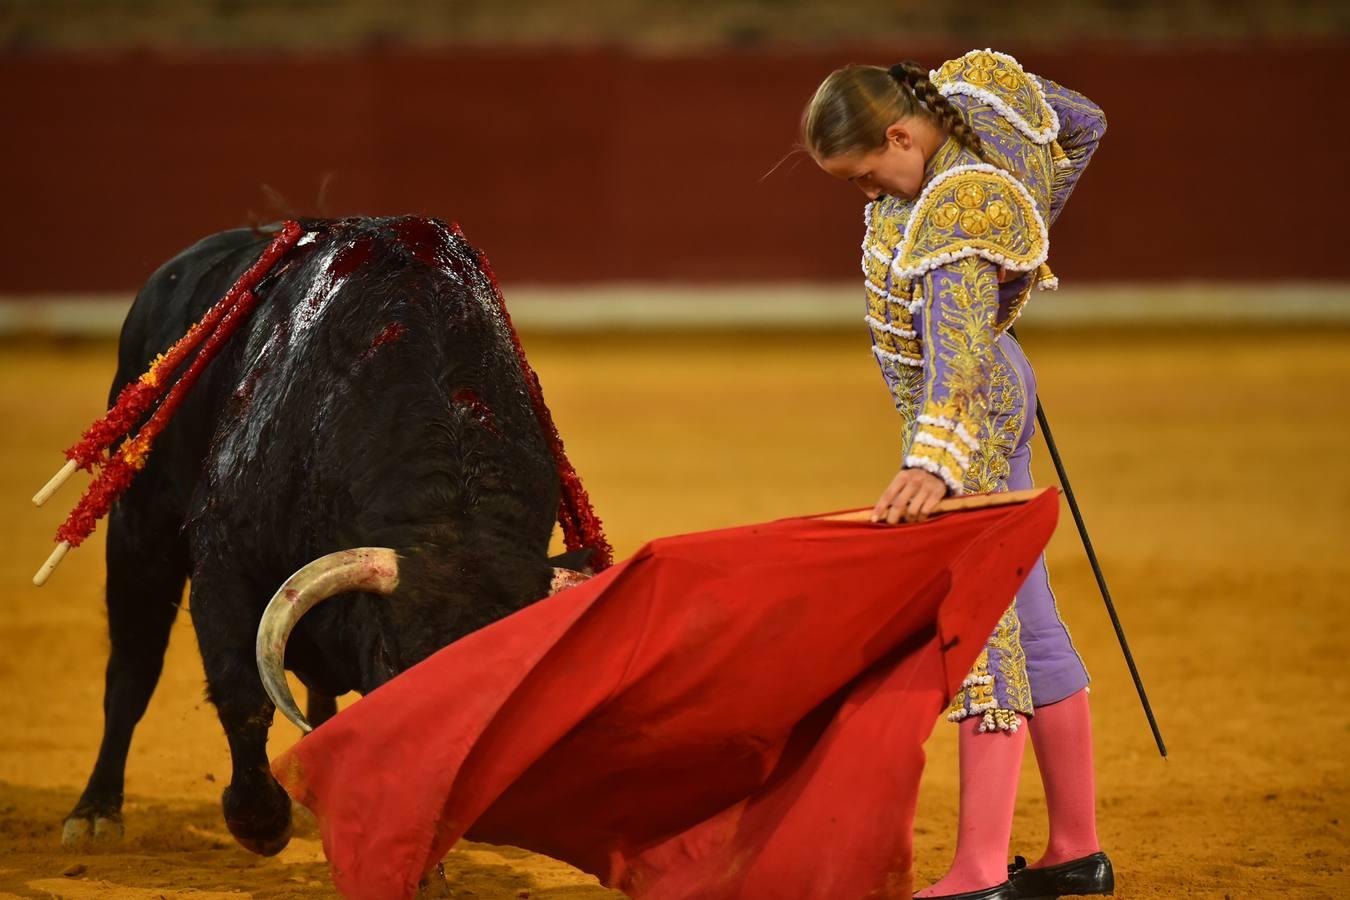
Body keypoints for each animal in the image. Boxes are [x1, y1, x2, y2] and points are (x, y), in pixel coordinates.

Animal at [62, 214, 602, 858]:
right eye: (396, 658)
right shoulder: (225, 562)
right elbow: (242, 695)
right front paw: (261, 822)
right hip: (139, 524)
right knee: (132, 667)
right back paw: (95, 812)